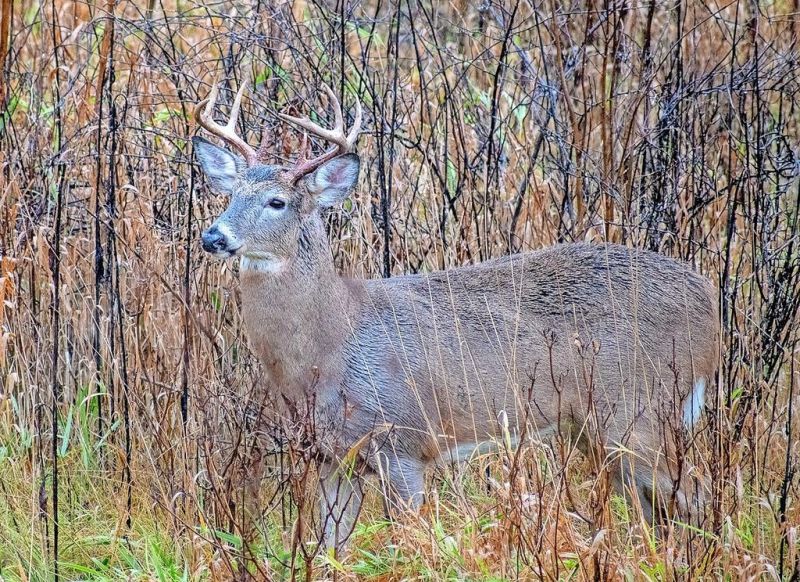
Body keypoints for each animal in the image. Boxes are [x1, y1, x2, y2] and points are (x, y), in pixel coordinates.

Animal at [192, 82, 720, 552]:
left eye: (276, 202)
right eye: (230, 196)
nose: (212, 236)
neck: (332, 345)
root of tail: (710, 302)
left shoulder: (402, 440)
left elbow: (410, 545)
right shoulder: (328, 456)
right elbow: (327, 550)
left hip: (640, 407)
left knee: (697, 497)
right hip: (601, 427)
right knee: (656, 508)